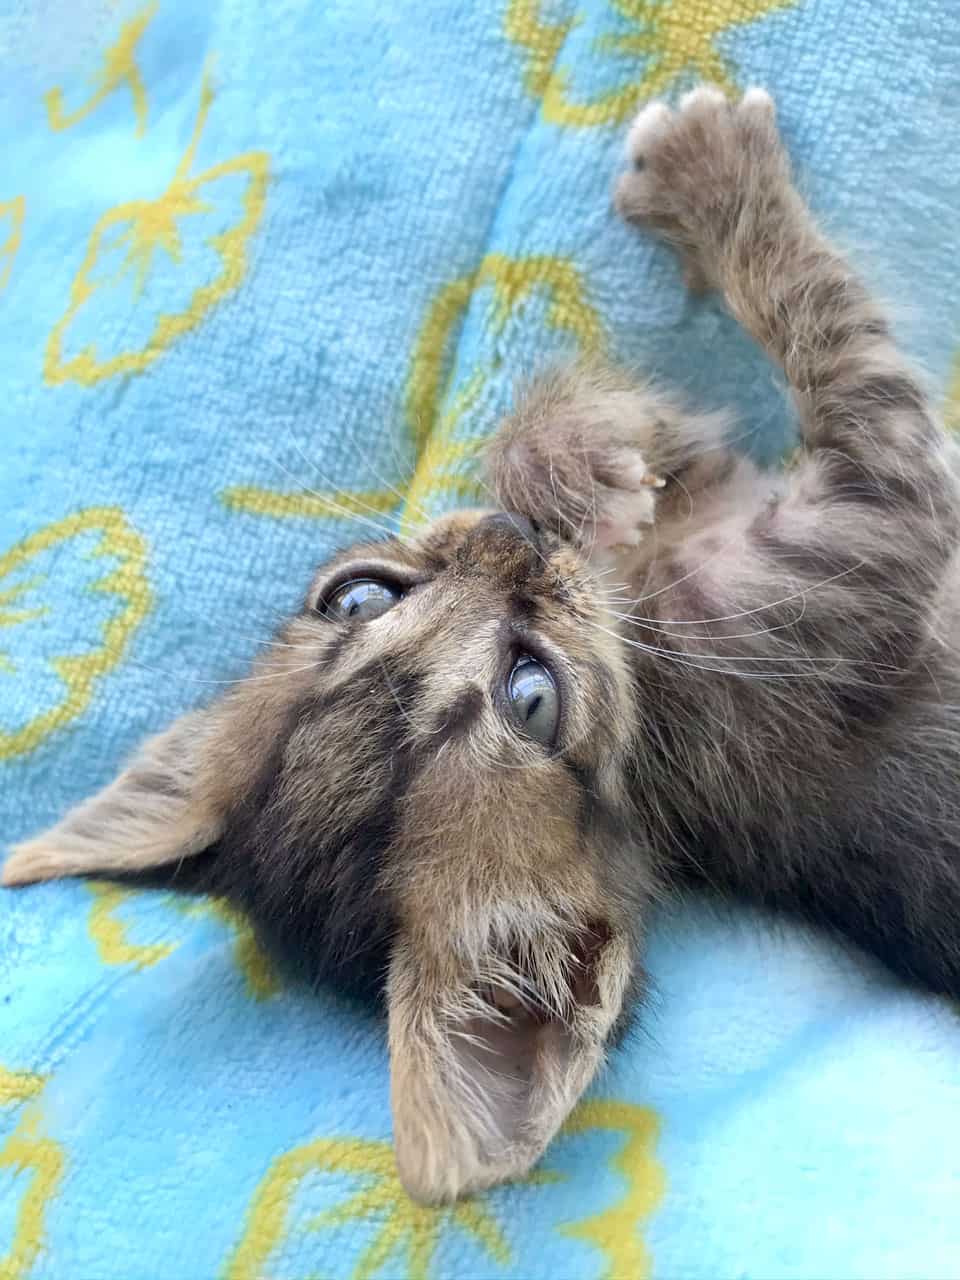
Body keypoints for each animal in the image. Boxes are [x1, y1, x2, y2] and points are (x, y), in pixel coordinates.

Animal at [7, 87, 960, 1198]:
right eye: (530, 696)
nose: (512, 550)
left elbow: (624, 440)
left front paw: (568, 456)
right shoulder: (854, 541)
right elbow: (833, 332)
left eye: (356, 595)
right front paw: (715, 174)